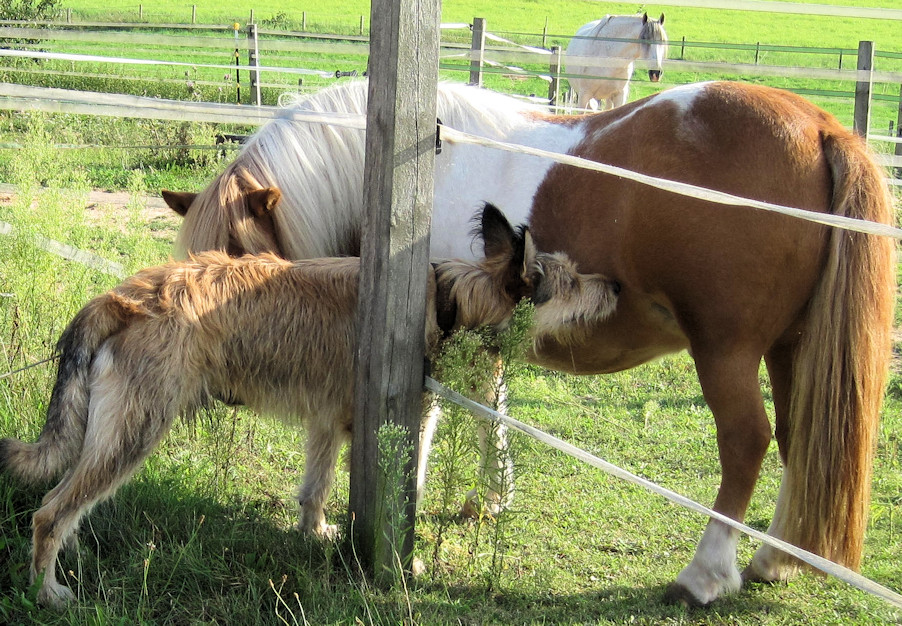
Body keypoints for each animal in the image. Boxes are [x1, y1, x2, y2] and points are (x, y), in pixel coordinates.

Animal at [0, 203, 621, 608]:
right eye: (569, 281)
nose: (616, 286)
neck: (448, 303)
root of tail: (124, 295)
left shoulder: (326, 425)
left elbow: (315, 488)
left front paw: (314, 532)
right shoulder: (407, 429)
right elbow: (406, 500)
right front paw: (405, 564)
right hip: (133, 436)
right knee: (50, 512)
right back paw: (46, 591)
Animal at [161, 79, 896, 606]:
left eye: (235, 266)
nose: (224, 394)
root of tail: (822, 126)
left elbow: (424, 423)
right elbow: (491, 413)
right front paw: (491, 498)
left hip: (727, 351)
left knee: (748, 441)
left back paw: (706, 574)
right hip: (791, 347)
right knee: (801, 439)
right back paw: (775, 559)